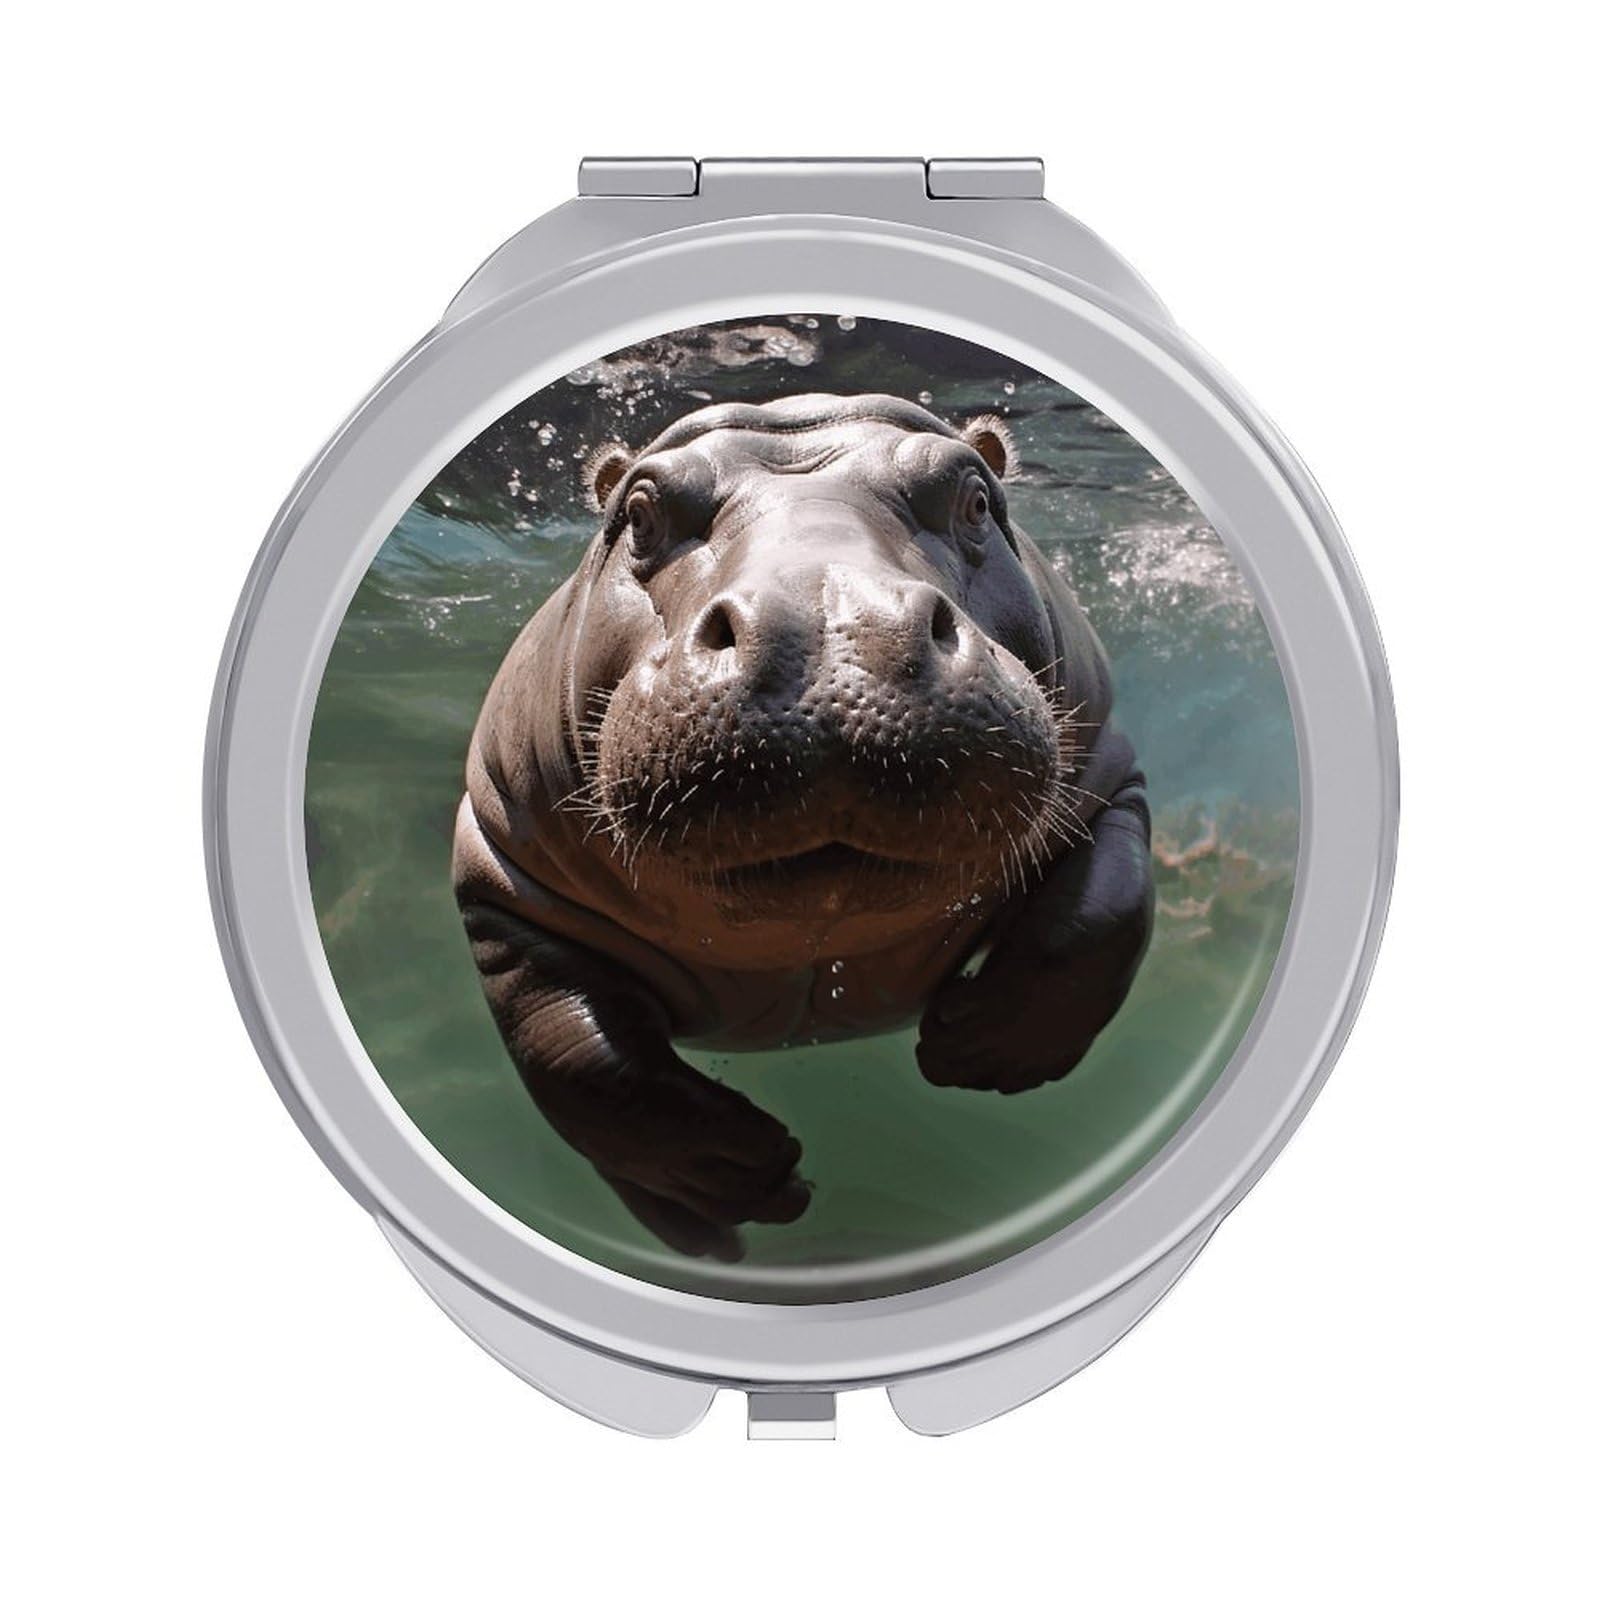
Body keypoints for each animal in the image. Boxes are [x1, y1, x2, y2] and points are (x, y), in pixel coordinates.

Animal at [452, 394, 1153, 1260]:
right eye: (640, 514)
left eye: (974, 499)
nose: (827, 621)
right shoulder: (500, 870)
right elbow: (576, 1056)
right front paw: (747, 1174)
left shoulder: (1109, 779)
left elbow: (1097, 920)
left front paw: (978, 1051)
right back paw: (714, 1240)